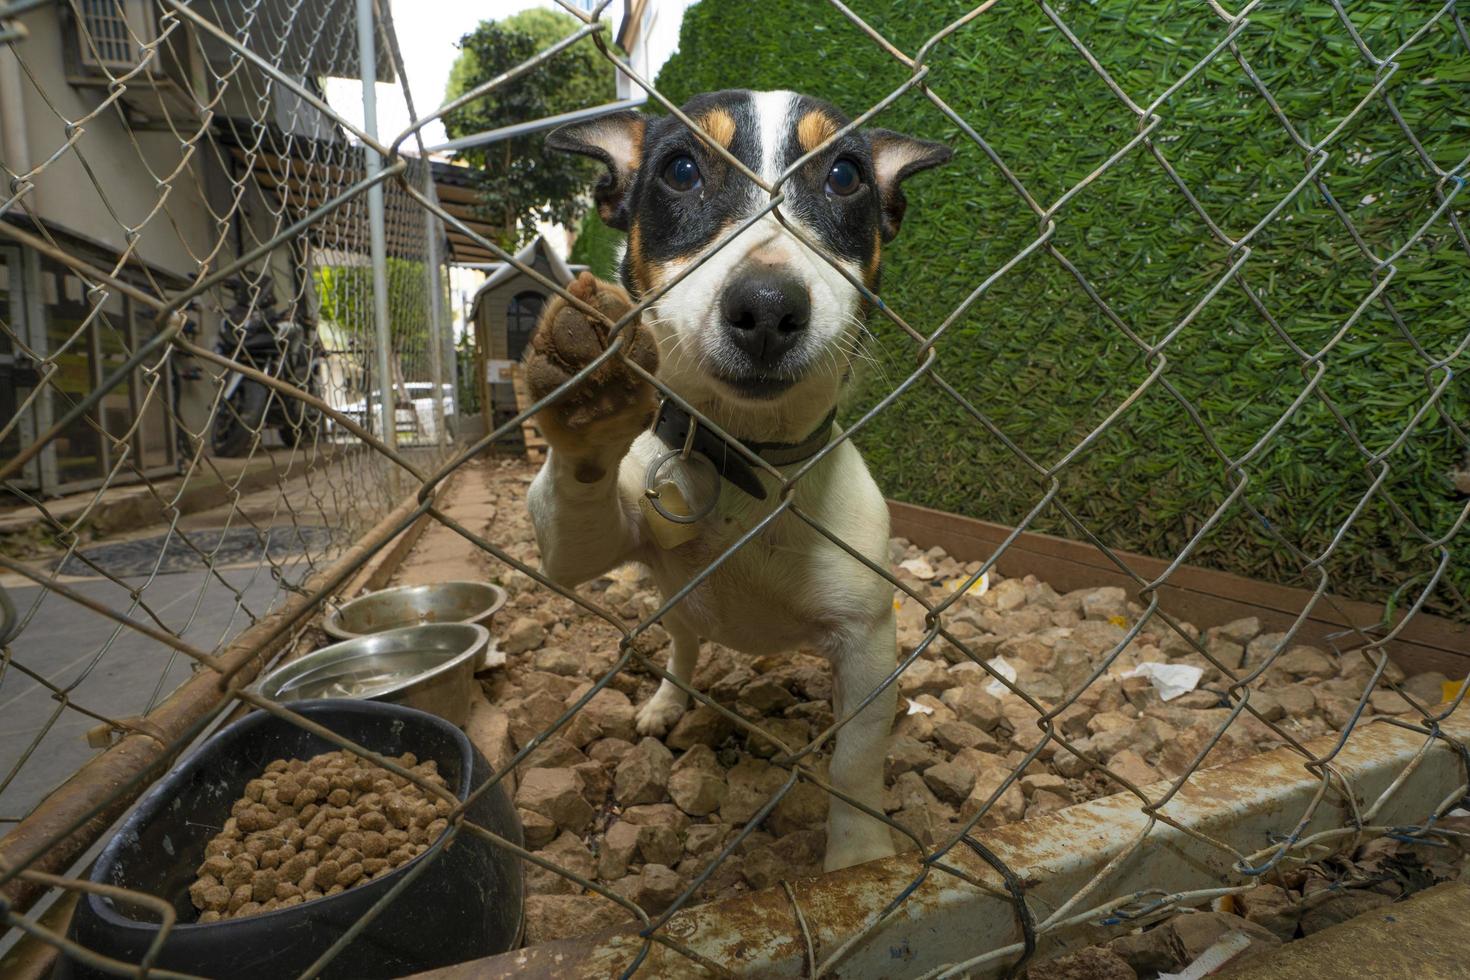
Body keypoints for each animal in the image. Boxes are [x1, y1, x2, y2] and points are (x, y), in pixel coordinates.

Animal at [523, 89, 946, 875]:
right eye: (681, 170)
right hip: (673, 608)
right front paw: (592, 396)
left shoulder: (867, 642)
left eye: (845, 176)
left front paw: (859, 857)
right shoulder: (577, 546)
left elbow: (854, 762)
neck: (747, 466)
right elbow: (580, 487)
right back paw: (667, 703)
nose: (769, 305)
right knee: (683, 651)